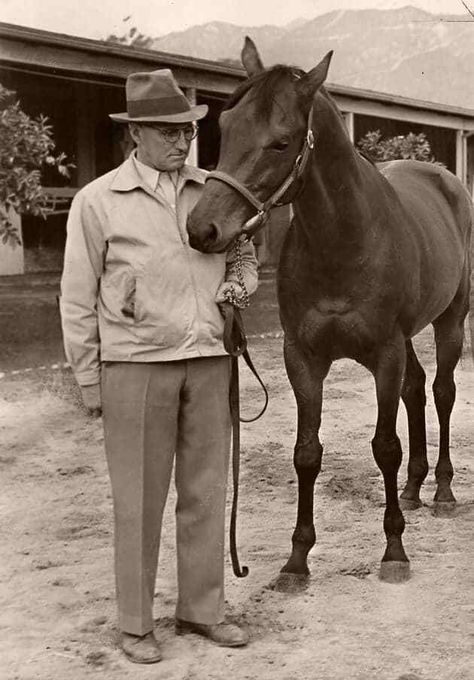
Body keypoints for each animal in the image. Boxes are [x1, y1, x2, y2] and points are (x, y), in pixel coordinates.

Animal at [187, 37, 472, 588]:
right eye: (225, 126)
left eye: (281, 143)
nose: (201, 228)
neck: (345, 239)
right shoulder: (303, 357)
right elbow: (307, 452)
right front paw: (297, 558)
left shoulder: (384, 354)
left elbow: (385, 446)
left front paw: (394, 551)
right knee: (415, 389)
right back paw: (413, 488)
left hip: (451, 319)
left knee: (442, 391)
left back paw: (444, 490)